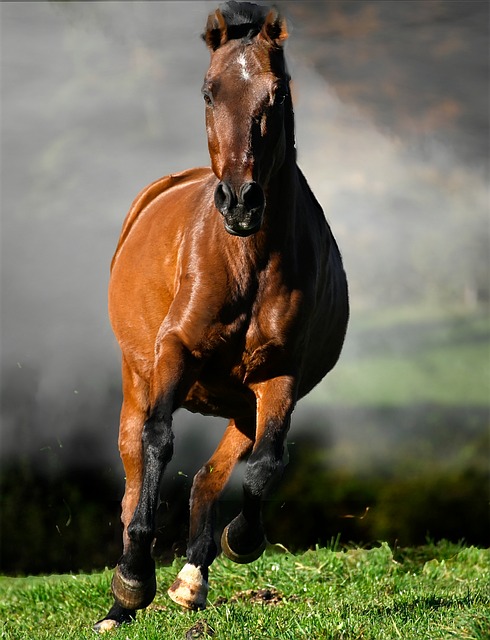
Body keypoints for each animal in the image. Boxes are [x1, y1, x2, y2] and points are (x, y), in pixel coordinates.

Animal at [94, 1, 349, 631]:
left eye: (275, 94)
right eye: (209, 93)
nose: (240, 201)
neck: (245, 261)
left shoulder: (278, 376)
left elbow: (266, 464)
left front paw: (240, 541)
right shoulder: (174, 353)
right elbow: (158, 443)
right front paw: (134, 581)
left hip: (240, 402)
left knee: (213, 476)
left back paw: (191, 578)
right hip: (138, 379)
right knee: (133, 473)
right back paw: (121, 600)